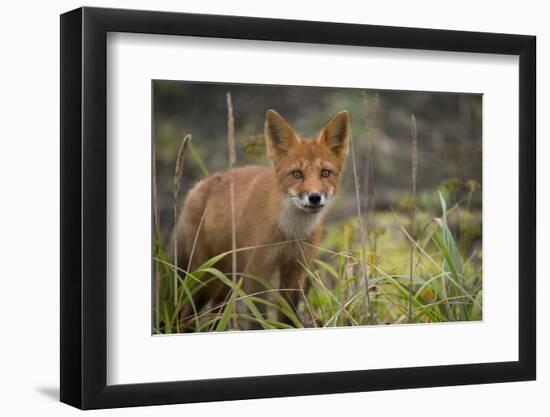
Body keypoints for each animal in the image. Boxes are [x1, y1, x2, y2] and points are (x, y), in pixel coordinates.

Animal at [172, 109, 352, 326]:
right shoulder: (258, 271)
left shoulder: (295, 270)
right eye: (297, 174)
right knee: (186, 315)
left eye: (325, 173)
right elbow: (257, 319)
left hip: (225, 282)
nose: (315, 197)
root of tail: (196, 188)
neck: (289, 232)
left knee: (214, 317)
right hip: (207, 278)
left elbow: (287, 317)